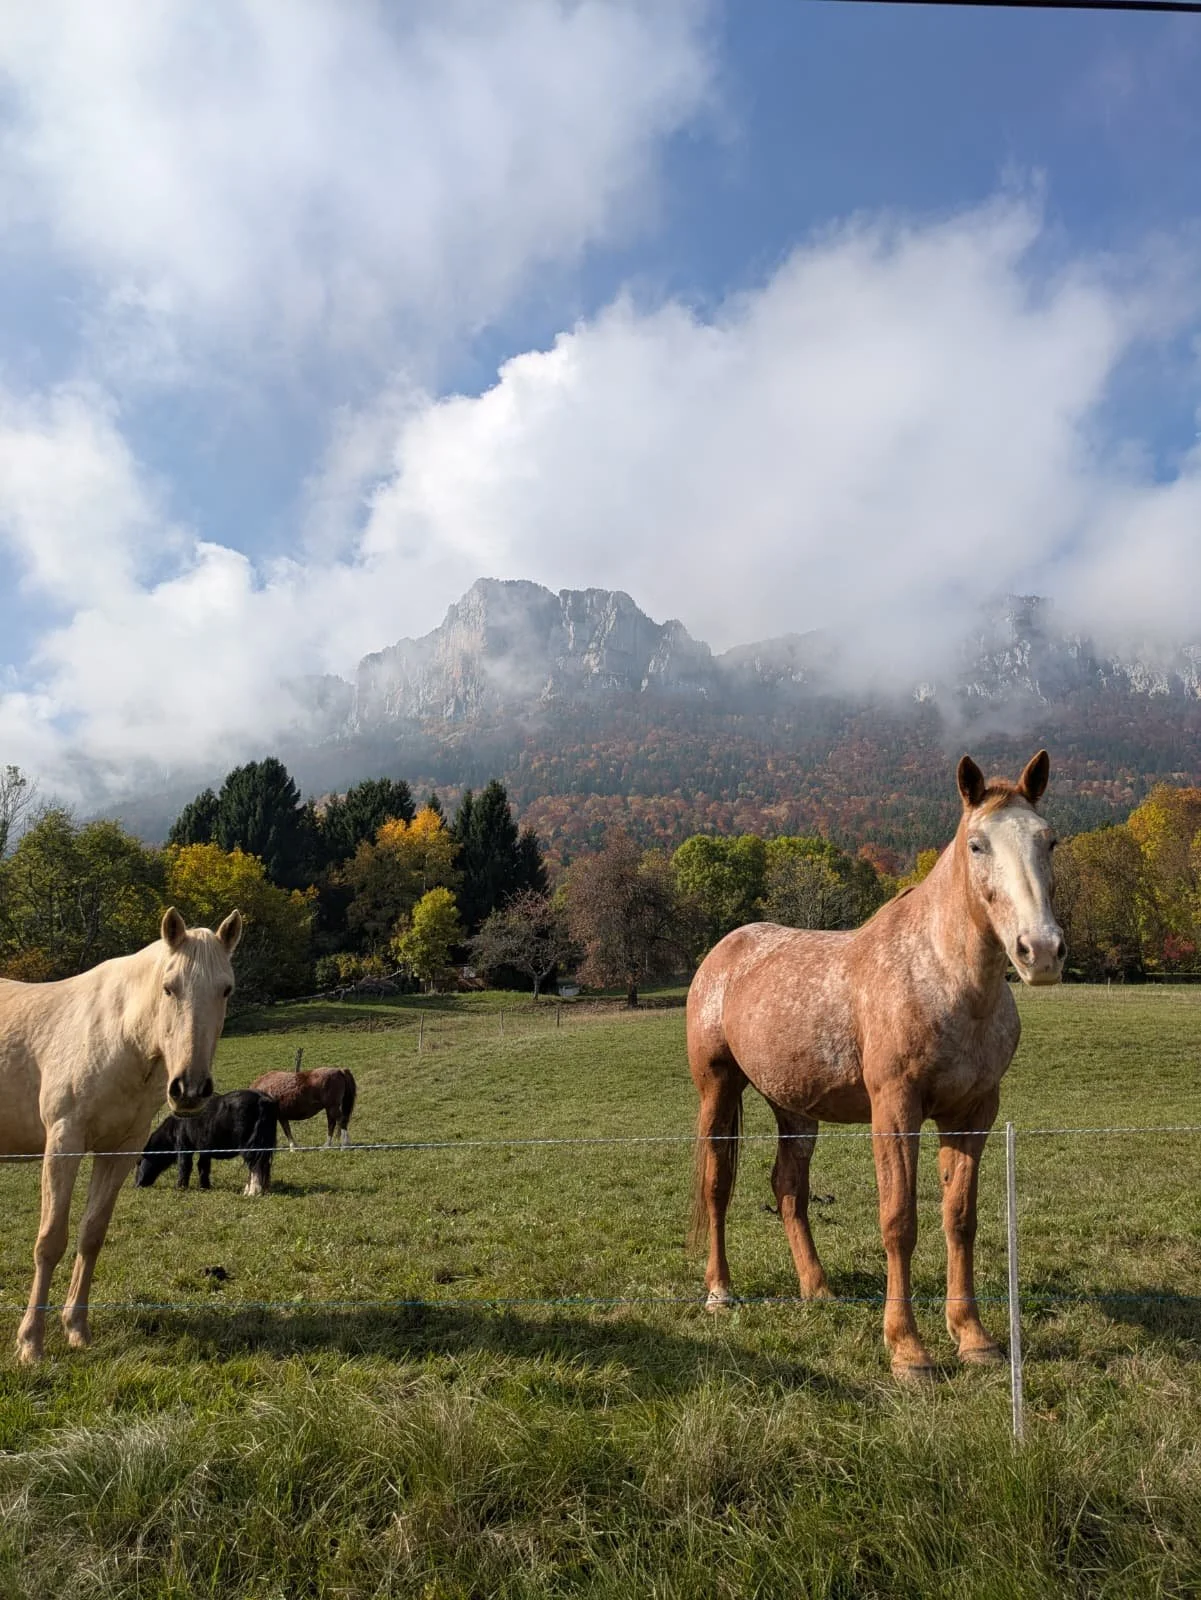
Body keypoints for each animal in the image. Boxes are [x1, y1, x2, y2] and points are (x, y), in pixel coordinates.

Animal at [0, 907, 243, 1363]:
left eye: (226, 990)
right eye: (169, 987)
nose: (190, 1089)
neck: (119, 1035)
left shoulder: (118, 1152)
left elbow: (91, 1235)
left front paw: (76, 1329)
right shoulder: (64, 1144)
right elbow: (50, 1242)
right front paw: (31, 1344)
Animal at [136, 1089, 278, 1197]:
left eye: (139, 1162)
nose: (136, 1185)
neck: (175, 1125)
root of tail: (263, 1099)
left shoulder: (184, 1146)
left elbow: (184, 1166)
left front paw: (181, 1187)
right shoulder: (205, 1148)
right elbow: (203, 1166)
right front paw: (204, 1186)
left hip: (250, 1145)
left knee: (255, 1166)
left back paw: (252, 1192)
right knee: (263, 1165)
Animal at [687, 751, 1064, 1380]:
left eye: (1048, 840)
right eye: (978, 844)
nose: (1040, 950)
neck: (943, 977)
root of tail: (726, 950)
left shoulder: (974, 1114)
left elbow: (959, 1219)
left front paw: (974, 1339)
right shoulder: (895, 1109)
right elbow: (899, 1221)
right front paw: (907, 1350)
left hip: (795, 1108)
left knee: (788, 1189)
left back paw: (817, 1289)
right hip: (718, 1089)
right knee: (718, 1186)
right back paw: (721, 1293)